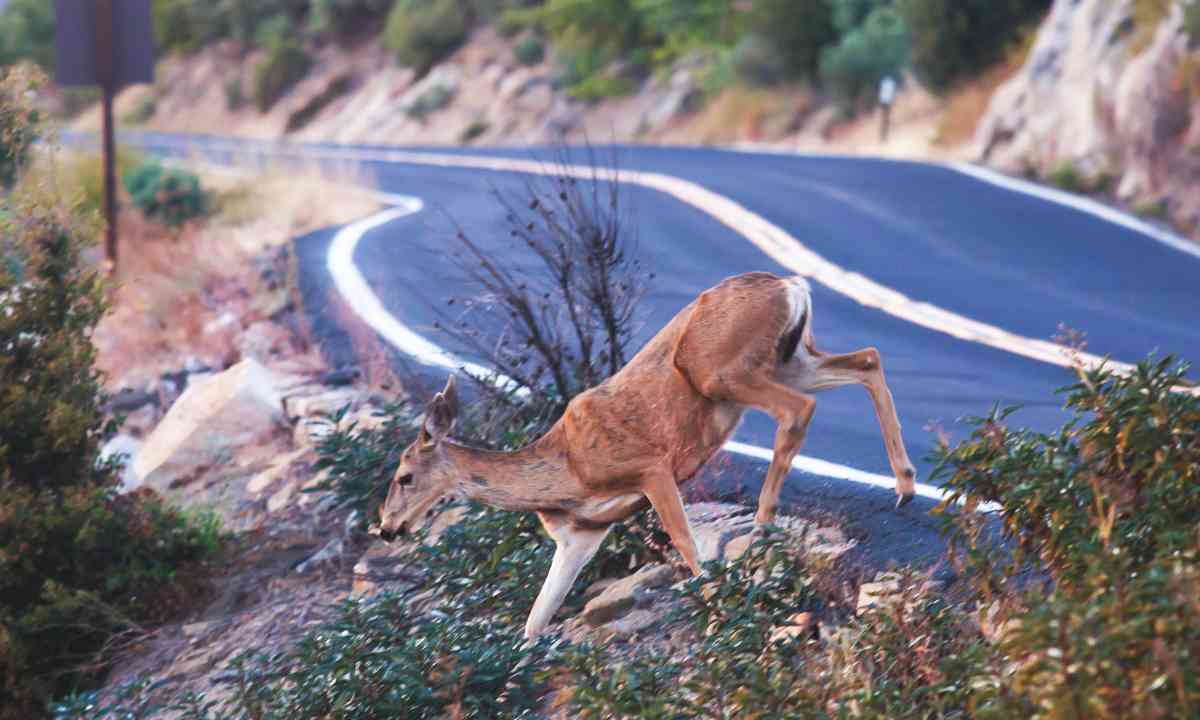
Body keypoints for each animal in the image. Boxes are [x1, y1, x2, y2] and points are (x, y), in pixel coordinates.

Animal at [369, 272, 912, 638]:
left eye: (404, 476)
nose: (387, 528)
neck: (567, 473)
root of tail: (790, 285)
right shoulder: (581, 534)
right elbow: (536, 617)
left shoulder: (649, 467)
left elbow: (686, 544)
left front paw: (719, 609)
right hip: (789, 357)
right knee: (866, 359)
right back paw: (904, 486)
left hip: (722, 369)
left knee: (801, 407)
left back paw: (764, 518)